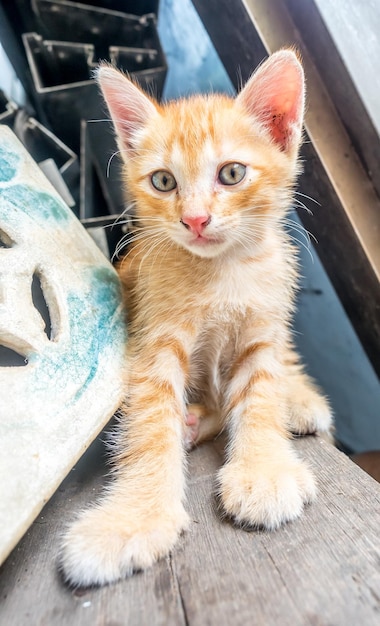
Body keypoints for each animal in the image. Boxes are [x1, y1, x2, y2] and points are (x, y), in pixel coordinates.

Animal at [60, 48, 332, 584]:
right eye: (163, 181)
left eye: (231, 174)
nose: (195, 220)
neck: (223, 270)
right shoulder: (153, 340)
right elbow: (150, 424)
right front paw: (134, 518)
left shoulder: (261, 328)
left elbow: (261, 391)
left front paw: (263, 470)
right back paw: (193, 423)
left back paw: (295, 399)